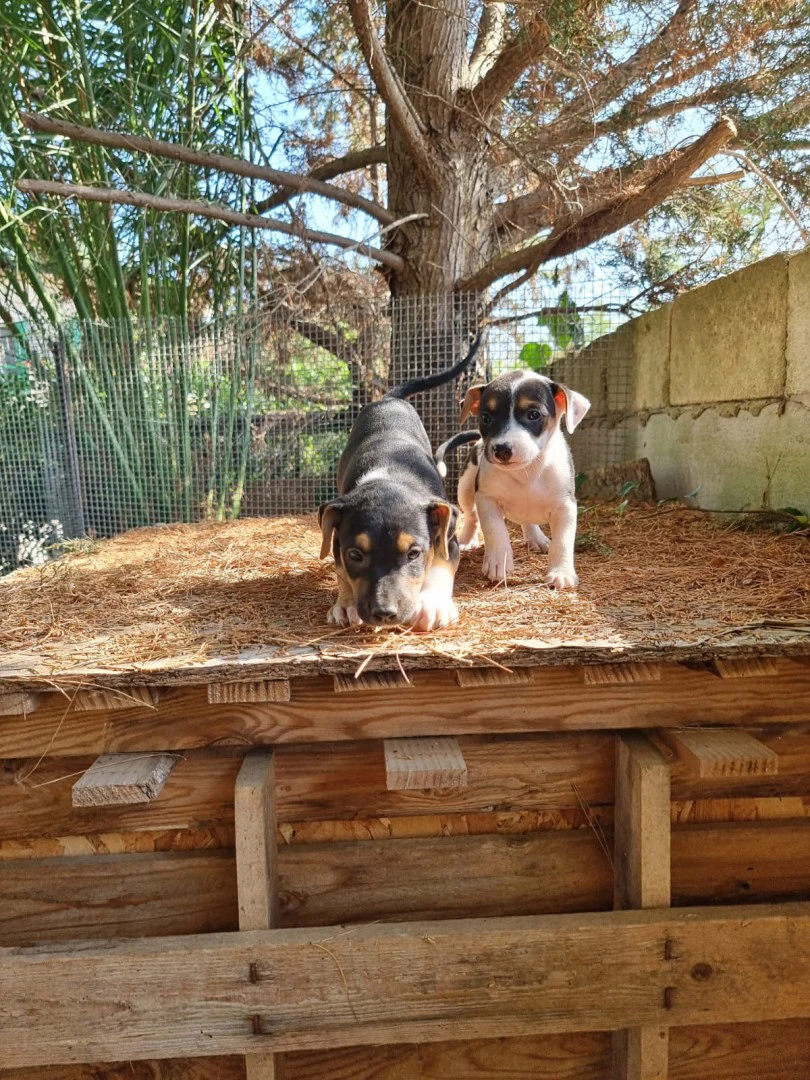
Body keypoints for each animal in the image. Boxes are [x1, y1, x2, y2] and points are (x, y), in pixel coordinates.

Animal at [319, 328, 492, 630]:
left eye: (414, 554)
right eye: (355, 555)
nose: (385, 613)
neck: (389, 476)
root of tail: (389, 398)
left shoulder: (447, 541)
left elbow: (442, 565)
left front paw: (433, 605)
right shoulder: (338, 541)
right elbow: (342, 571)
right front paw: (346, 604)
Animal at [438, 371, 591, 591]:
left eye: (534, 414)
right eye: (485, 417)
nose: (502, 449)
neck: (526, 472)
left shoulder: (566, 506)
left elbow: (563, 541)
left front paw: (561, 572)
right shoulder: (486, 498)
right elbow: (496, 531)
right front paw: (498, 563)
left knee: (527, 521)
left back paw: (537, 538)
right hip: (465, 488)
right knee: (472, 516)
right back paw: (468, 539)